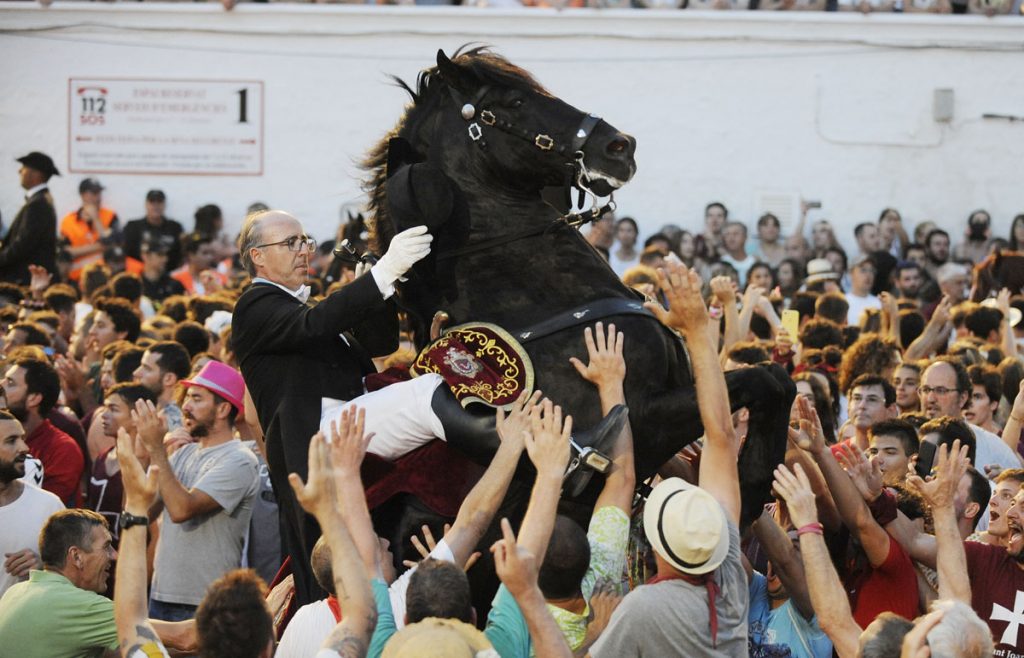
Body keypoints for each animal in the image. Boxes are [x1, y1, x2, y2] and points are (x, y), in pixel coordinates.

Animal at [364, 50, 794, 536]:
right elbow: (762, 380)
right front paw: (749, 487)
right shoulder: (642, 420)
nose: (619, 146)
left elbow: (775, 379)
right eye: (514, 101)